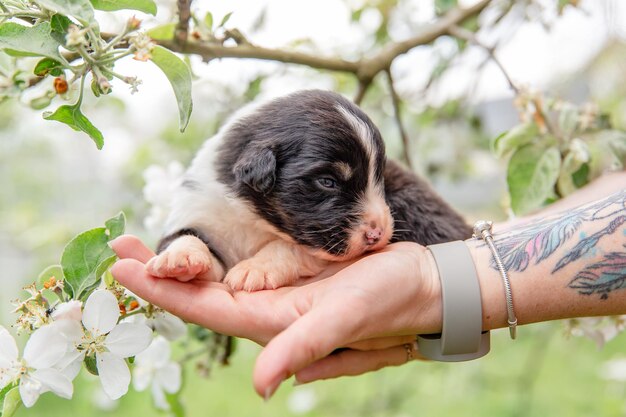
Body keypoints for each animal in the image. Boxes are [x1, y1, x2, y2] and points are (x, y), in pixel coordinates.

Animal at [146, 88, 468, 290]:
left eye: (380, 178)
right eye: (328, 182)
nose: (378, 235)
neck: (253, 219)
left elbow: (287, 246)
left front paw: (256, 268)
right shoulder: (199, 208)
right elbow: (185, 238)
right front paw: (180, 260)